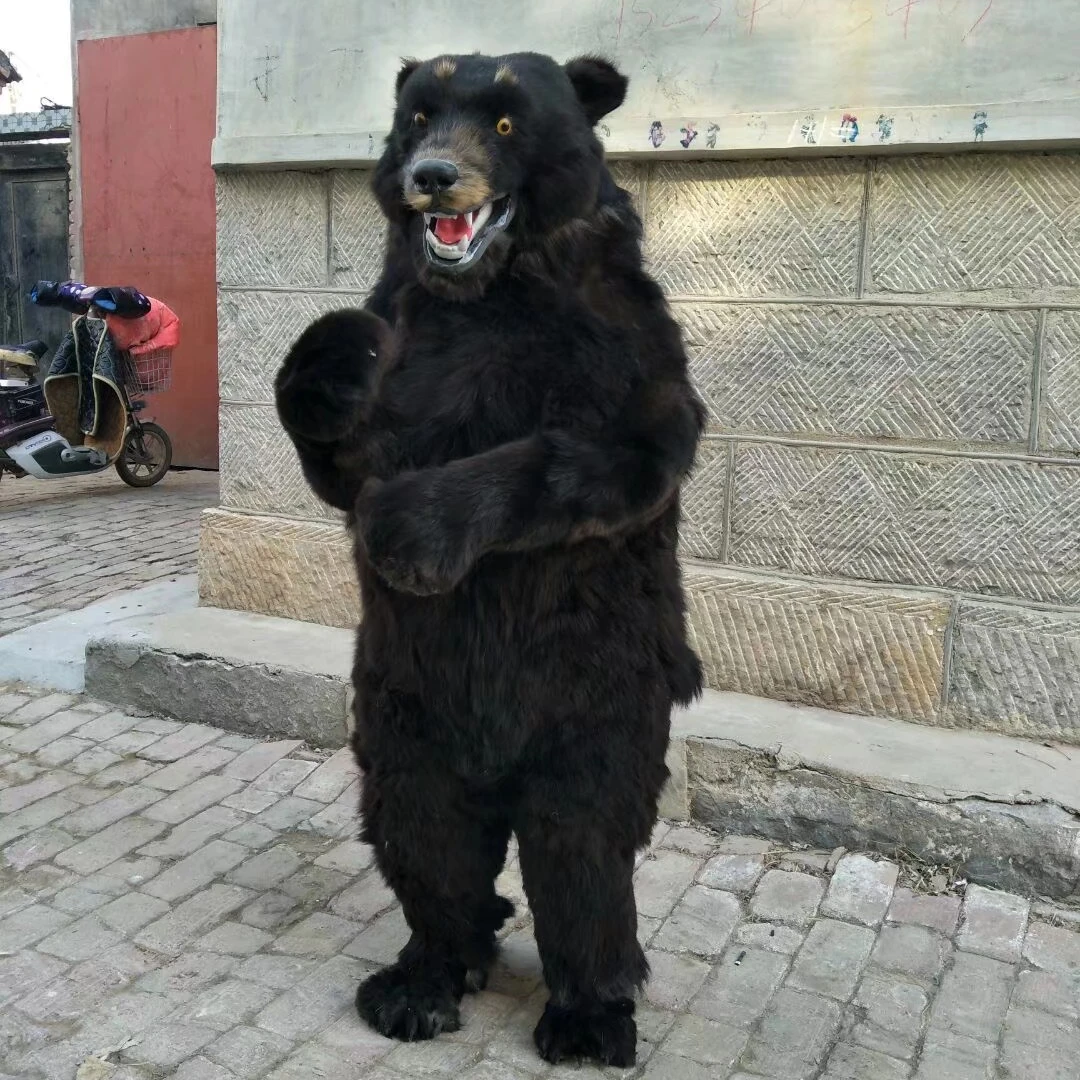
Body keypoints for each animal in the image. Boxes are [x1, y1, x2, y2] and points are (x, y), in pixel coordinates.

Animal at [275, 51, 704, 1067]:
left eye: (506, 121)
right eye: (418, 114)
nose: (433, 174)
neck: (490, 294)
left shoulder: (623, 350)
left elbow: (583, 457)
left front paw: (413, 531)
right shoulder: (410, 340)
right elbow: (349, 451)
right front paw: (334, 355)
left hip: (594, 698)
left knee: (579, 845)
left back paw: (589, 1014)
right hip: (400, 710)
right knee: (425, 836)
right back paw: (426, 977)